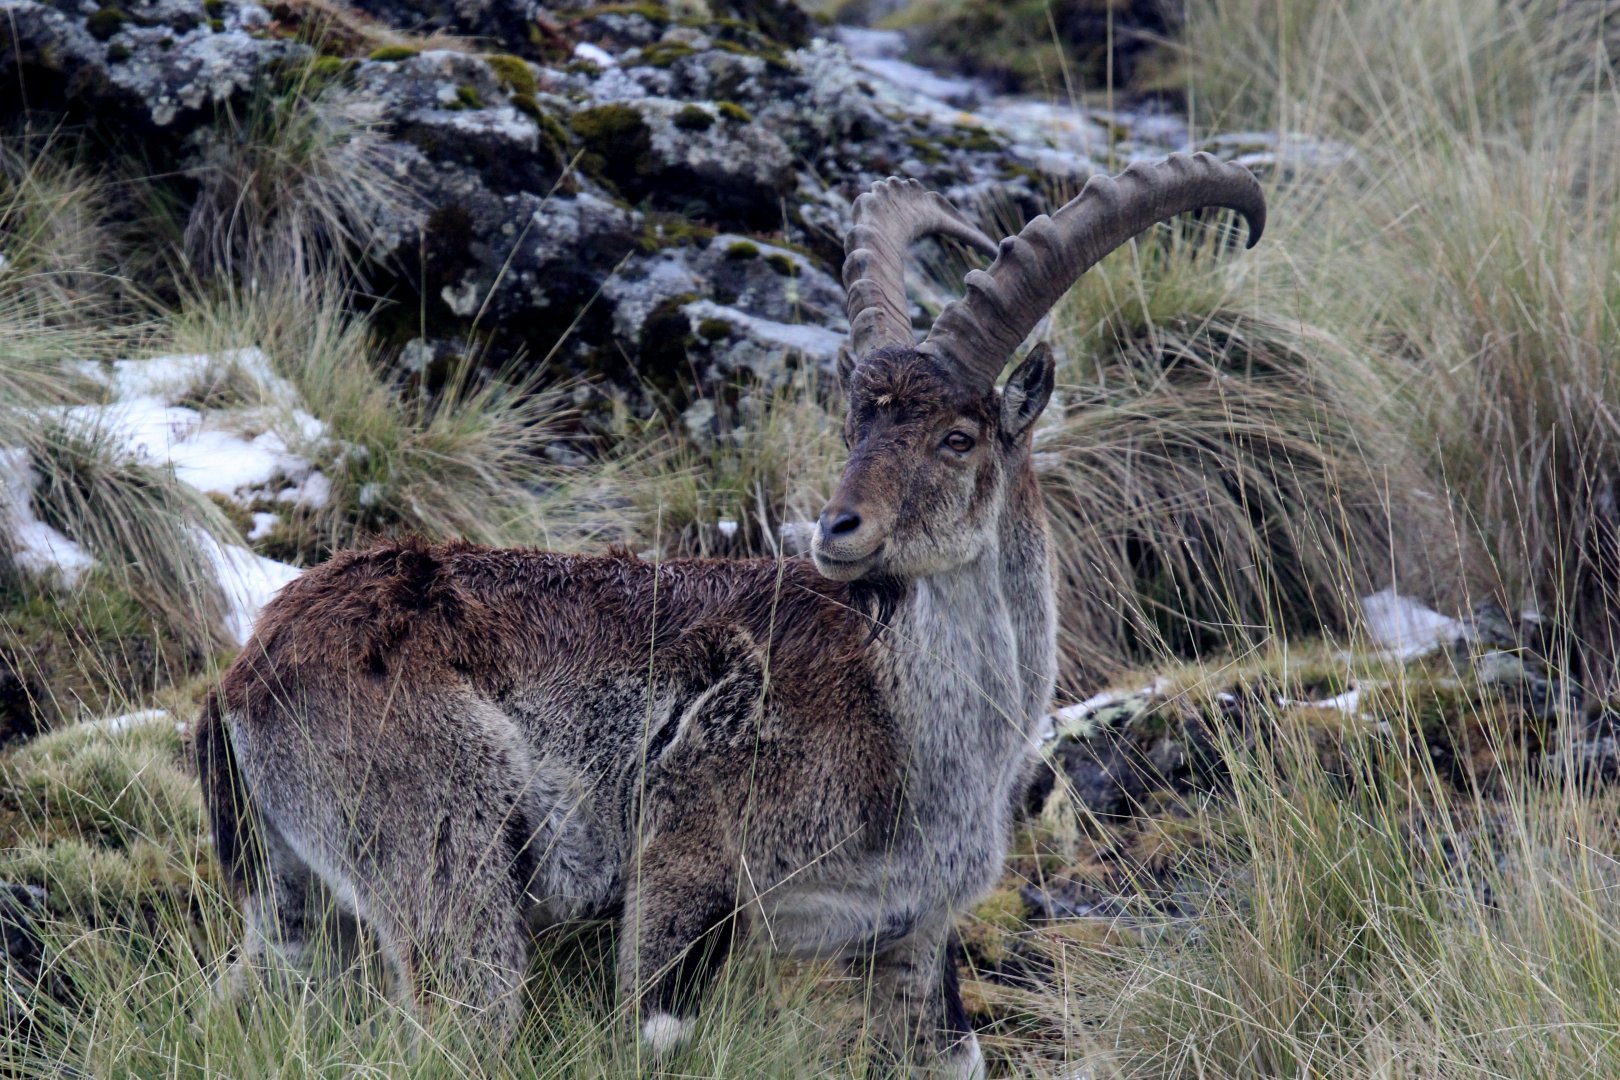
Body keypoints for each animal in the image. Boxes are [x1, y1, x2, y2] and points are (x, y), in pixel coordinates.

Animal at [196, 152, 1264, 1074]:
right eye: (857, 423)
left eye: (959, 436)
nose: (838, 529)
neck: (912, 717)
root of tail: (247, 678)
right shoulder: (685, 870)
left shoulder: (909, 936)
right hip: (452, 873)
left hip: (292, 910)